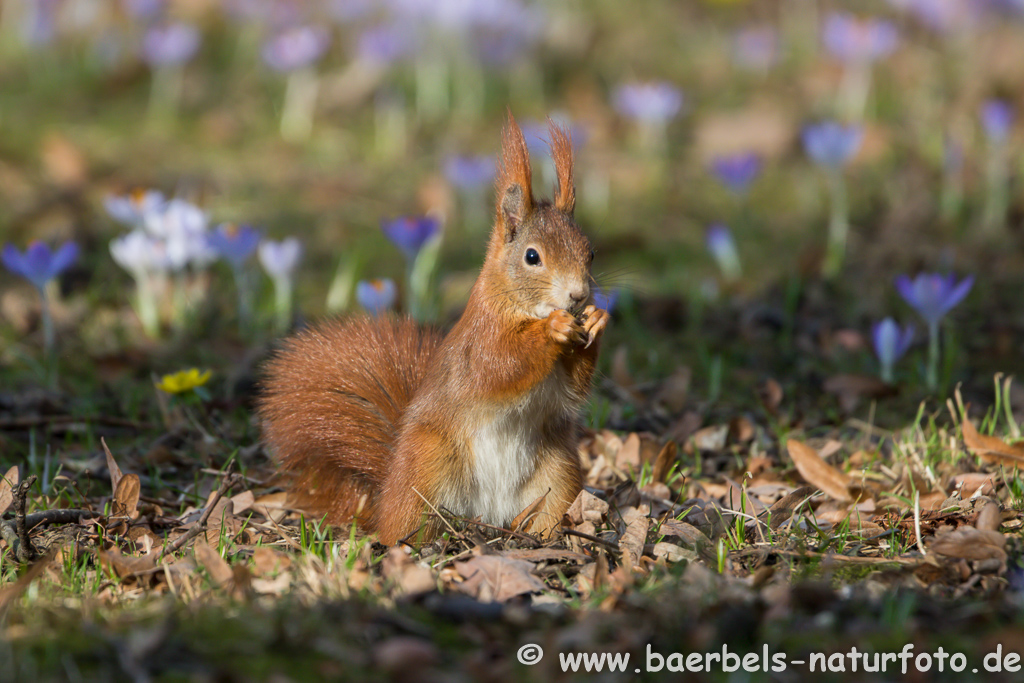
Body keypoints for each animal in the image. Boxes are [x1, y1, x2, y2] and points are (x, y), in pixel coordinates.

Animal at [258, 116, 606, 544]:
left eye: (591, 252)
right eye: (532, 256)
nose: (578, 295)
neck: (521, 307)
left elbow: (573, 386)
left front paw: (597, 320)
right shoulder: (479, 339)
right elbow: (499, 366)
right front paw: (552, 329)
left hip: (558, 471)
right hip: (425, 466)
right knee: (404, 526)